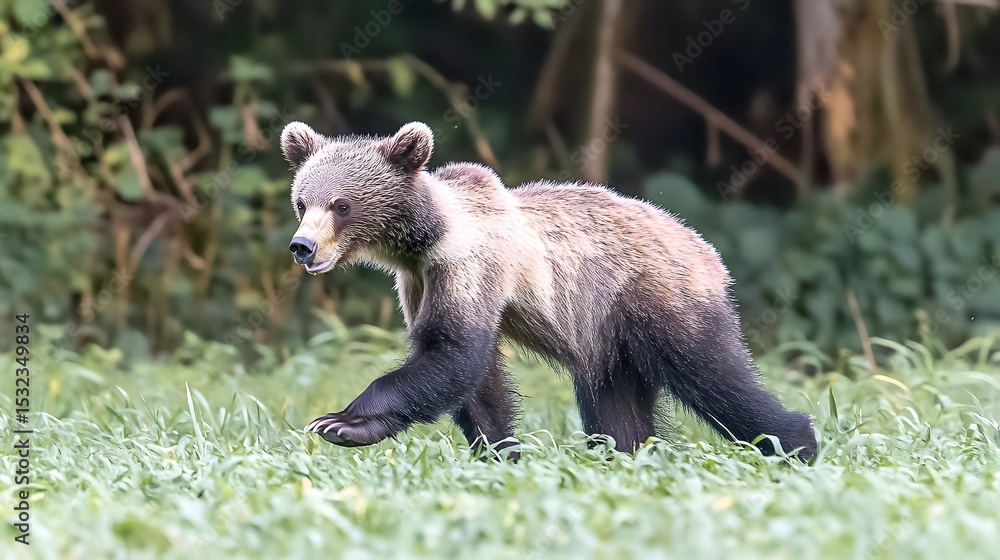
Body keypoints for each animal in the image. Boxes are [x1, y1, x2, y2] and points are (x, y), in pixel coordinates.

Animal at [282, 121, 818, 461]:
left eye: (342, 204)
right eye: (302, 201)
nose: (302, 247)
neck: (424, 239)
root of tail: (706, 248)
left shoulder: (469, 267)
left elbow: (451, 353)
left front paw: (340, 420)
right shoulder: (417, 282)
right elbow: (477, 382)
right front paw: (500, 451)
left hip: (655, 297)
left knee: (714, 377)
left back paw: (796, 442)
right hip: (606, 340)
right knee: (618, 410)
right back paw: (630, 454)